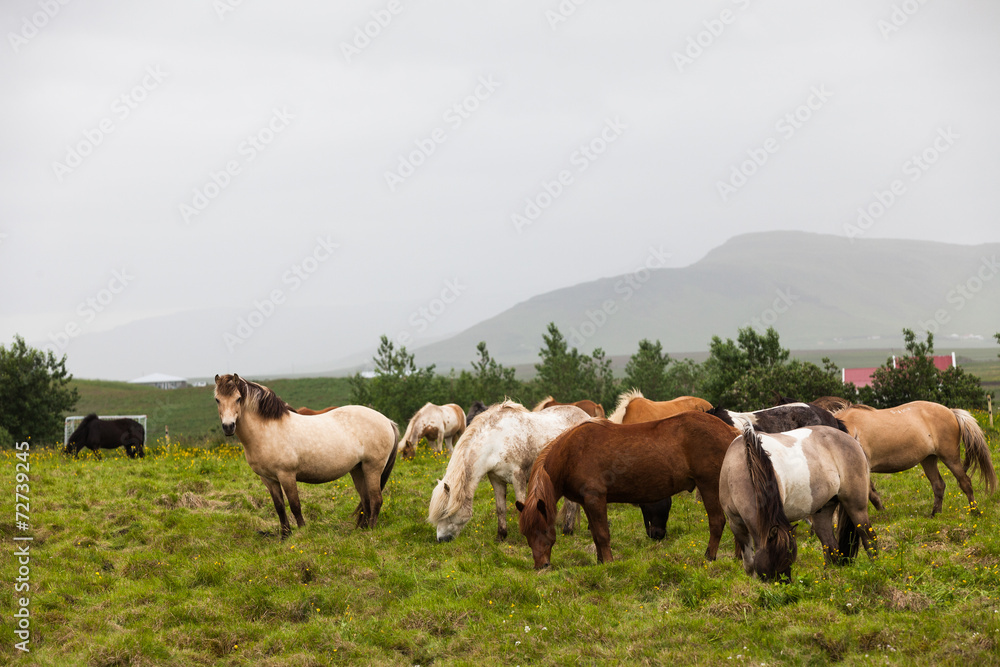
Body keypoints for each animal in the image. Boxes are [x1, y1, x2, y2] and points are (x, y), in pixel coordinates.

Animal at [214, 374, 398, 538]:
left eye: (238, 398)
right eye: (217, 399)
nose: (228, 427)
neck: (267, 430)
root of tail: (388, 421)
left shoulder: (286, 475)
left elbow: (295, 505)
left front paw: (303, 532)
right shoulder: (269, 479)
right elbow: (279, 507)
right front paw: (285, 536)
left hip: (372, 468)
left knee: (376, 500)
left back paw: (370, 532)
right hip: (358, 470)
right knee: (366, 501)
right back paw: (360, 531)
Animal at [428, 401, 591, 542]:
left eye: (445, 513)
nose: (441, 539)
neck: (496, 442)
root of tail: (587, 416)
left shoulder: (518, 478)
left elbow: (522, 506)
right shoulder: (496, 480)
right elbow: (500, 508)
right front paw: (501, 536)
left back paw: (569, 531)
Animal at [515, 411, 739, 569]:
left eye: (544, 529)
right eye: (525, 533)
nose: (541, 566)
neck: (572, 453)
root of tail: (731, 432)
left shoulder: (596, 499)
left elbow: (602, 533)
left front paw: (609, 562)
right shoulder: (587, 503)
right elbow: (595, 533)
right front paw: (600, 562)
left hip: (709, 486)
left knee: (717, 521)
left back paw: (709, 556)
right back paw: (738, 557)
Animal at [719, 423, 878, 582]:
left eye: (789, 560)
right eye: (774, 561)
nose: (785, 584)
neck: (742, 466)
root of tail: (853, 441)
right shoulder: (736, 524)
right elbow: (749, 563)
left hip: (856, 507)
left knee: (869, 539)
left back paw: (875, 569)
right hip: (822, 511)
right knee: (830, 546)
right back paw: (827, 579)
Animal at [830, 400, 996, 515]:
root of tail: (950, 411)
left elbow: (870, 494)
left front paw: (882, 514)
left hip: (950, 458)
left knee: (965, 482)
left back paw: (974, 512)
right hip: (928, 459)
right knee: (938, 485)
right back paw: (935, 514)